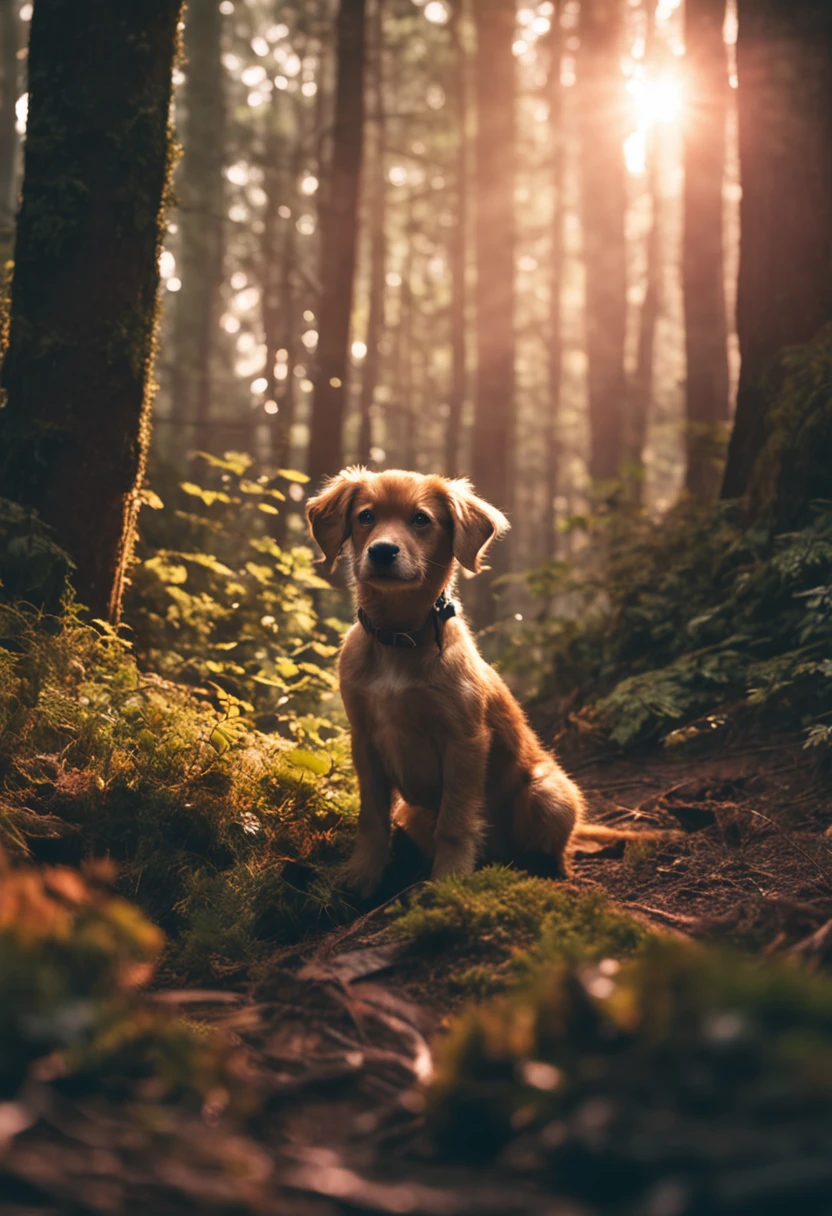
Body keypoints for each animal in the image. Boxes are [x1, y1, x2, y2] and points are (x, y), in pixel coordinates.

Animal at [301, 464, 593, 894]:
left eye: (421, 520)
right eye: (365, 516)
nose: (382, 551)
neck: (400, 637)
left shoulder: (464, 739)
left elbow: (455, 822)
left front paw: (450, 881)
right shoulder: (363, 737)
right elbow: (372, 817)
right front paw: (362, 875)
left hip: (550, 792)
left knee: (551, 850)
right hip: (413, 810)